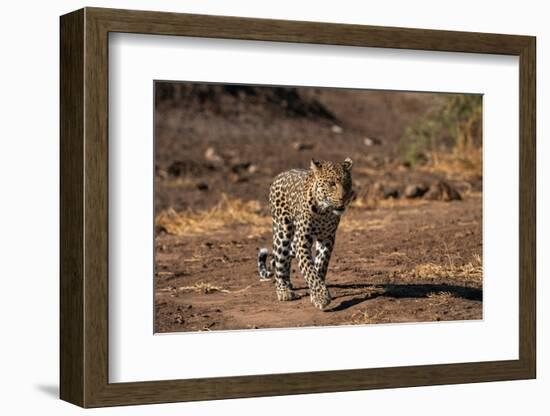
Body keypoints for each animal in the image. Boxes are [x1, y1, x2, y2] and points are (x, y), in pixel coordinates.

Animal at [260, 158, 356, 310]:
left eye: (347, 183)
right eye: (332, 184)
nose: (344, 198)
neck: (324, 212)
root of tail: (280, 174)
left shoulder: (327, 239)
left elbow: (320, 265)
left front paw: (315, 293)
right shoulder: (302, 241)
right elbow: (309, 269)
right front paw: (321, 297)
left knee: (285, 260)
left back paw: (288, 283)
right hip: (283, 231)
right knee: (280, 260)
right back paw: (283, 290)